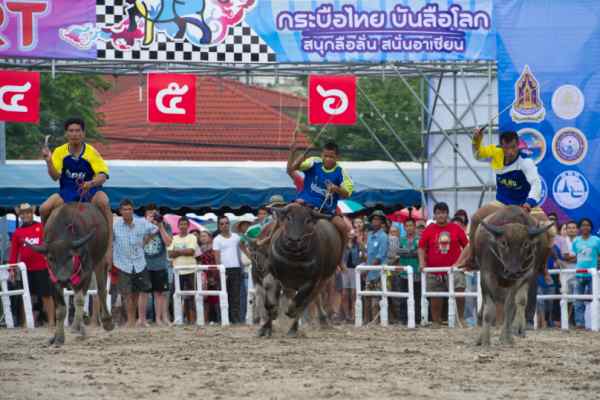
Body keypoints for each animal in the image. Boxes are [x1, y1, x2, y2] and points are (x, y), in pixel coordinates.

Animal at [31, 205, 113, 346]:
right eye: (51, 258)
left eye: (70, 256)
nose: (64, 279)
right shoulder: (53, 281)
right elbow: (60, 310)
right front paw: (58, 338)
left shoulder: (86, 274)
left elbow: (79, 300)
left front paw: (75, 326)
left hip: (100, 261)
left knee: (101, 289)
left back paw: (105, 321)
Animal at [264, 203, 344, 338]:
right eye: (288, 218)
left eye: (308, 220)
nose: (294, 240)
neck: (293, 257)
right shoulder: (274, 274)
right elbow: (271, 299)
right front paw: (265, 328)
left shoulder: (311, 282)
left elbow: (298, 302)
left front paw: (291, 312)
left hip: (323, 280)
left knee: (307, 301)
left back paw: (294, 328)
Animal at [474, 205, 552, 346]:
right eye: (503, 242)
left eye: (526, 244)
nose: (512, 271)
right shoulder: (486, 276)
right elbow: (489, 310)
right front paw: (485, 340)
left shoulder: (520, 278)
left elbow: (510, 307)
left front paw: (507, 337)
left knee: (517, 303)